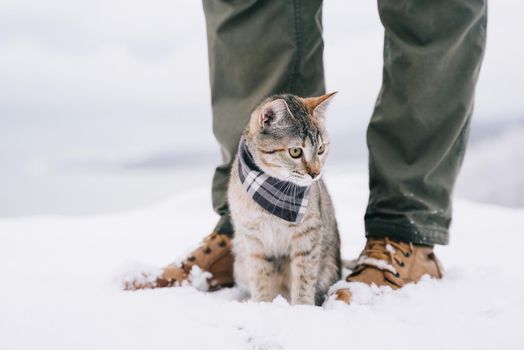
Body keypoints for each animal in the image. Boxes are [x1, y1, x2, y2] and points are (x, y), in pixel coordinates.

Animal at [227, 91, 342, 304]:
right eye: (295, 151)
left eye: (321, 149)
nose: (315, 173)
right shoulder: (252, 239)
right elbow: (260, 277)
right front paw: (262, 304)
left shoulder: (308, 234)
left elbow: (304, 277)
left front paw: (302, 307)